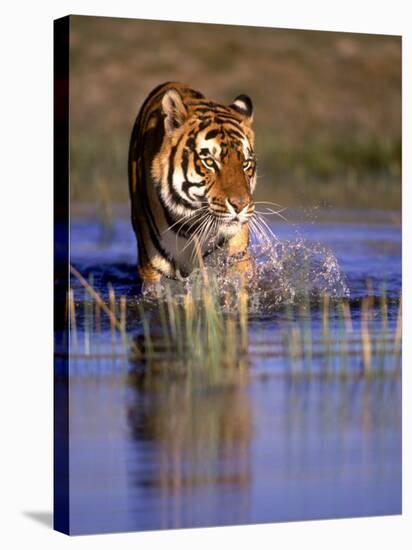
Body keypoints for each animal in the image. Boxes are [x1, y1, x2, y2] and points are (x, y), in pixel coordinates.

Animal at [128, 82, 258, 284]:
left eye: (245, 163)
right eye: (210, 162)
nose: (240, 205)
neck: (191, 228)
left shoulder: (236, 257)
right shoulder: (153, 269)